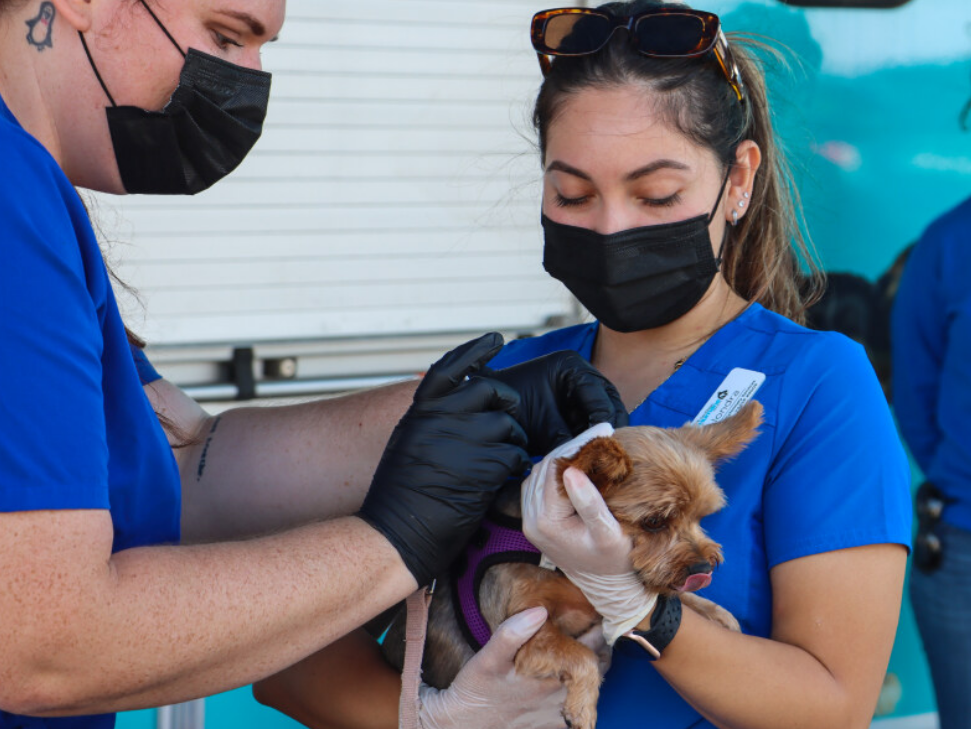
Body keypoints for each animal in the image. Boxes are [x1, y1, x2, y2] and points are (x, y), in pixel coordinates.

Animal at [384, 400, 764, 724]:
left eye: (701, 517)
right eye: (654, 521)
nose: (704, 569)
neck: (565, 572)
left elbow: (662, 592)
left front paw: (714, 612)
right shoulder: (519, 633)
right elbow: (582, 656)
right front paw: (583, 708)